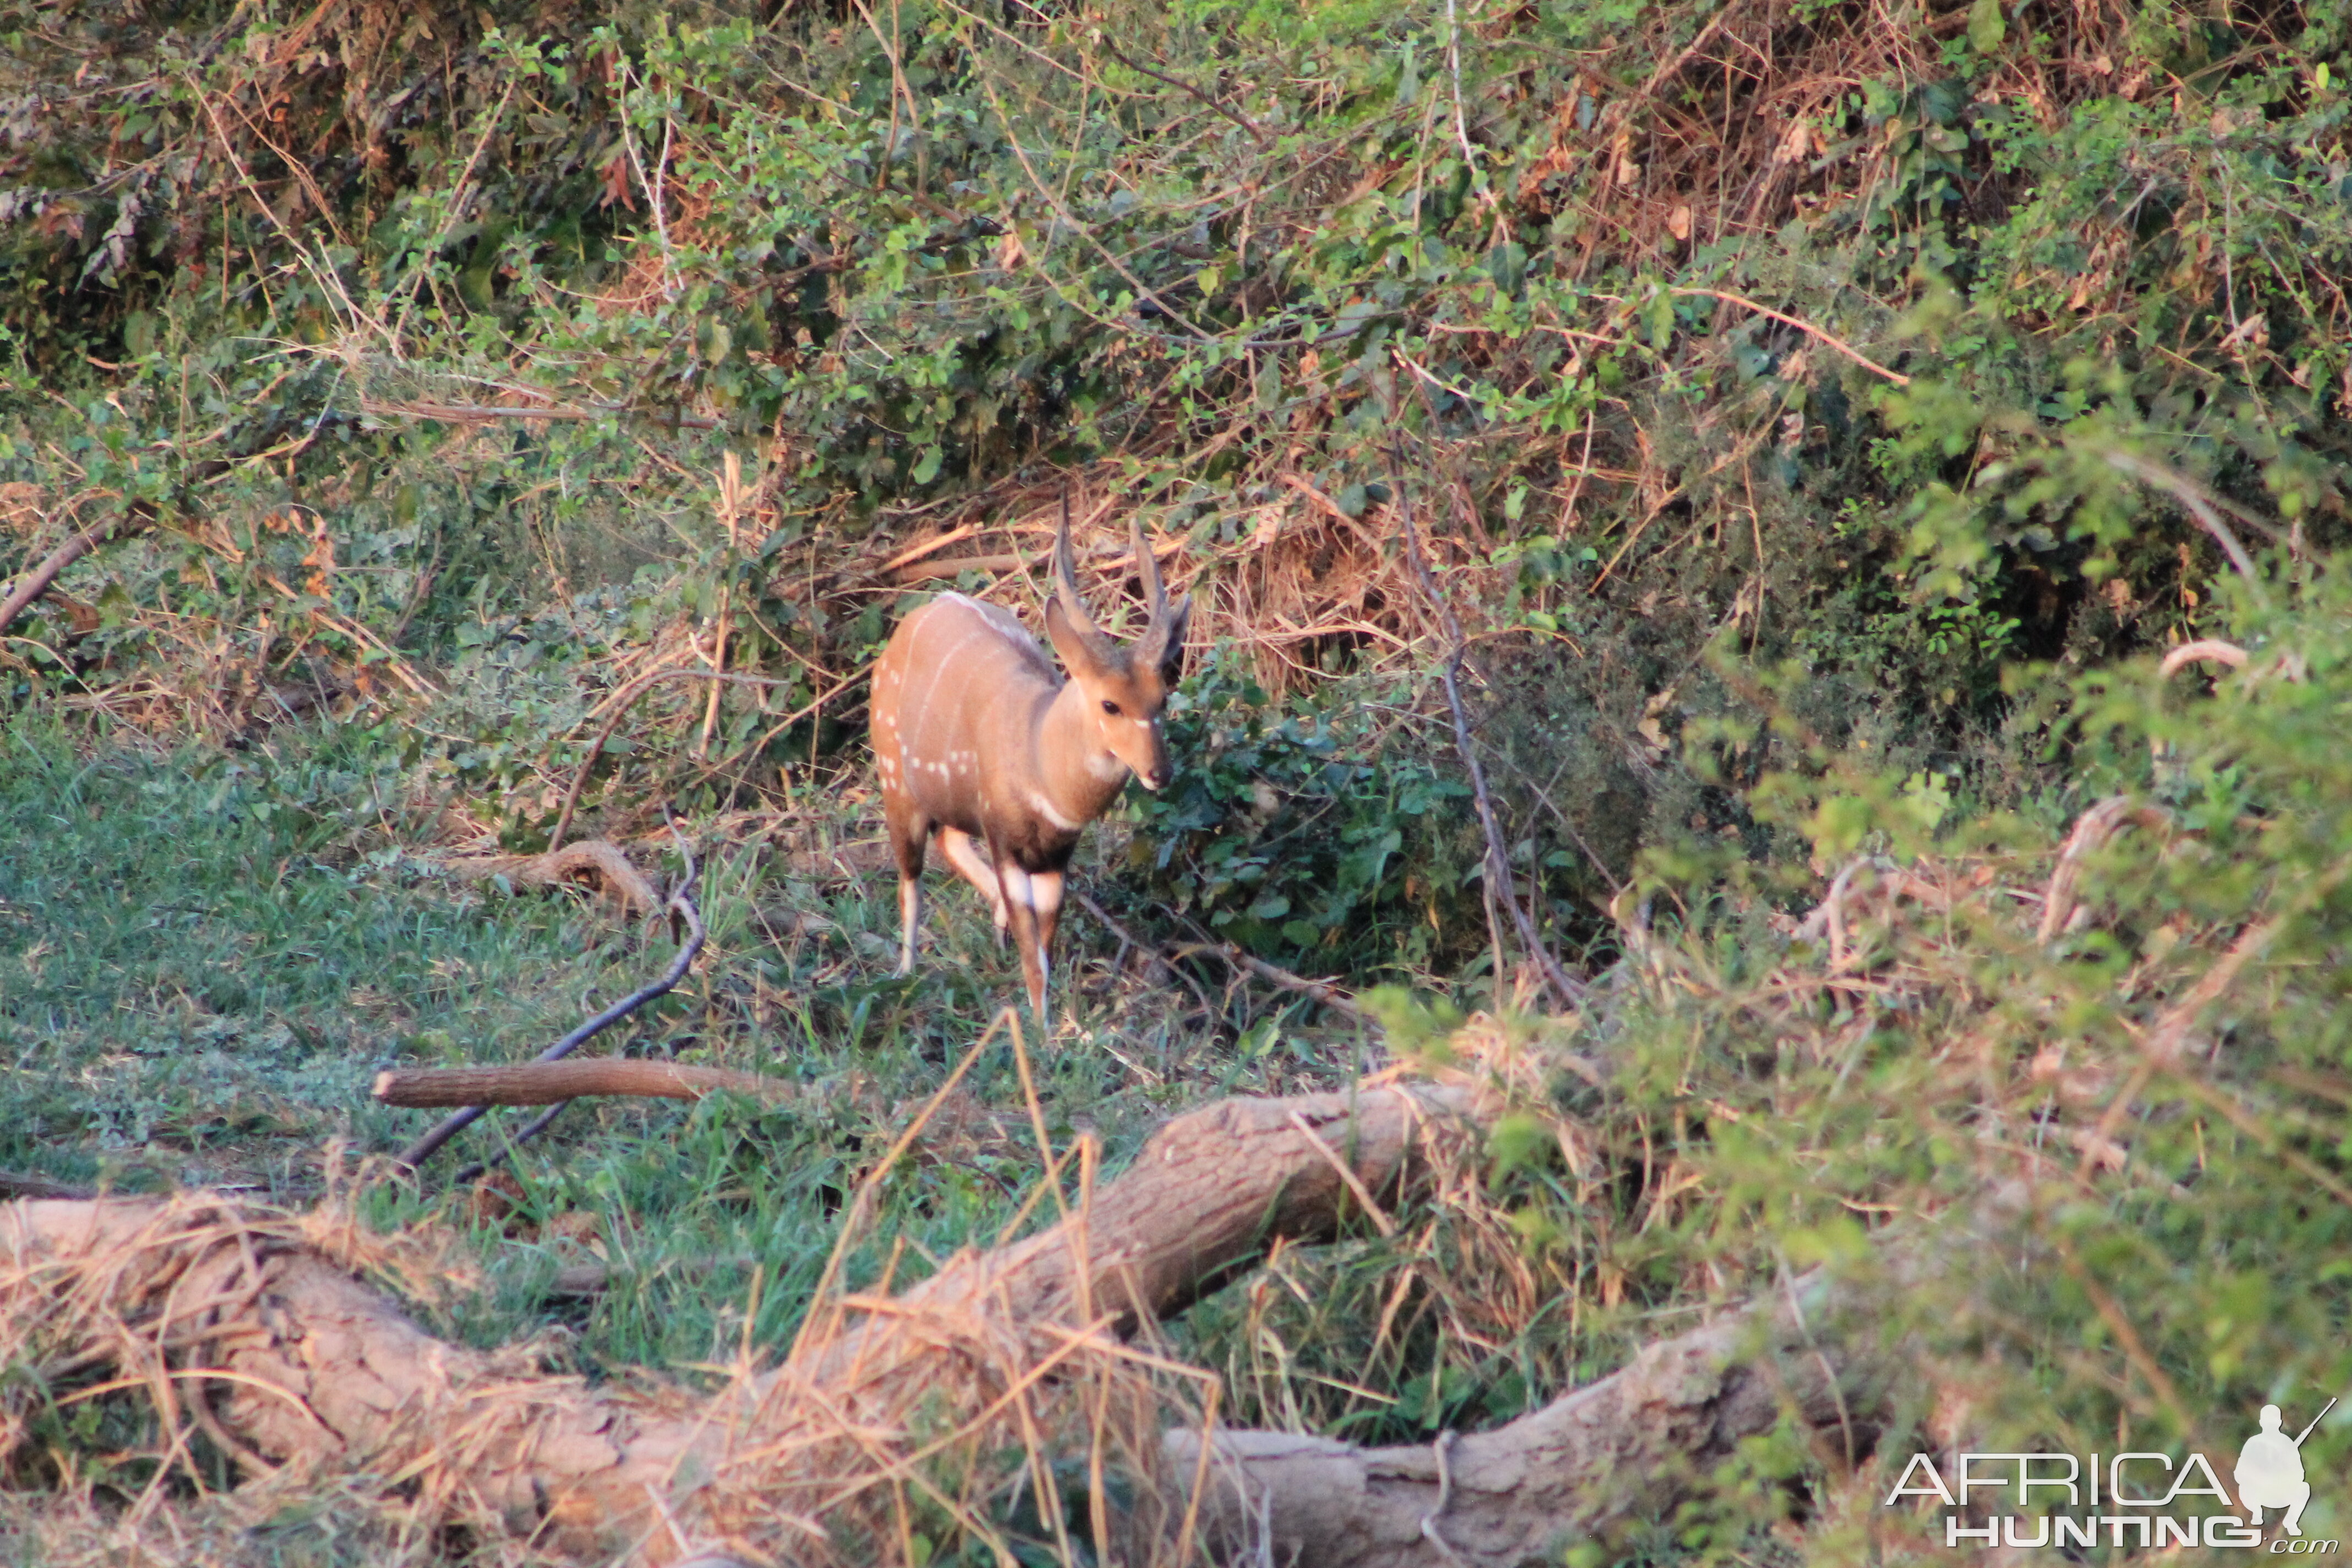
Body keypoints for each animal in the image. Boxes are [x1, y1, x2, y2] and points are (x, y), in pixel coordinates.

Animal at [870, 503, 1185, 1020]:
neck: (1043, 769)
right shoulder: (1005, 840)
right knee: (909, 877)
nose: (1159, 772)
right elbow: (1033, 958)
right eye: (1110, 705)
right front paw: (1043, 1030)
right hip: (895, 780)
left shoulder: (1057, 854)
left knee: (950, 841)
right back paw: (904, 973)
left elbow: (1045, 947)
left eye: (1163, 698)